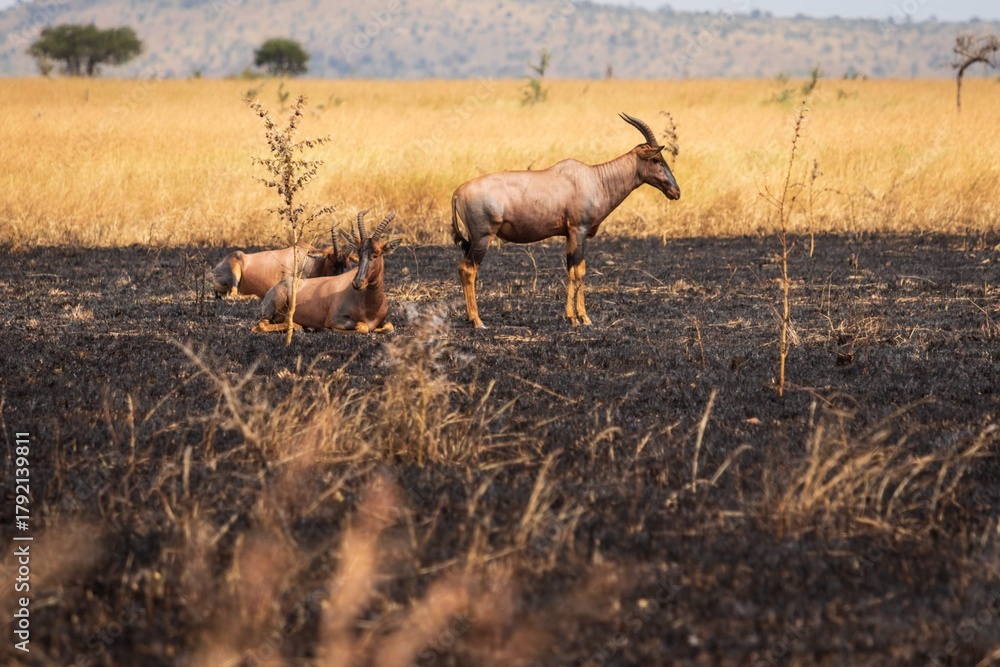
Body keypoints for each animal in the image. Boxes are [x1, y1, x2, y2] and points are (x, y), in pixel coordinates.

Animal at [253, 210, 401, 334]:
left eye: (376, 253)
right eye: (359, 251)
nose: (357, 283)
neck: (368, 301)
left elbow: (389, 327)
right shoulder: (334, 318)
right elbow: (362, 327)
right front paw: (327, 329)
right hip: (271, 311)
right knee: (259, 326)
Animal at [451, 113, 681, 328]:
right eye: (657, 159)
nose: (675, 192)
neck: (594, 178)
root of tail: (457, 192)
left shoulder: (569, 235)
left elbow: (570, 271)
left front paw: (571, 317)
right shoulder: (579, 231)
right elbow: (581, 272)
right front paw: (584, 318)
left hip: (473, 239)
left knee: (464, 269)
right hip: (482, 238)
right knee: (468, 269)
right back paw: (478, 321)